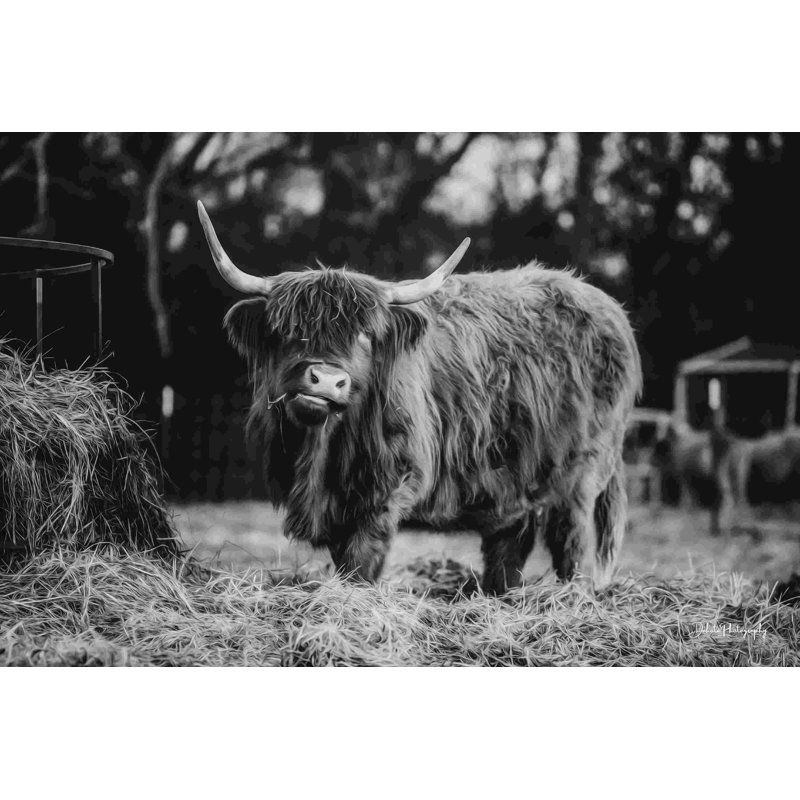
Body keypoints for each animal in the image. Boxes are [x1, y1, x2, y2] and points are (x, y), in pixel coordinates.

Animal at [197, 201, 642, 593]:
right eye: (290, 329)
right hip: (516, 480)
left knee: (573, 543)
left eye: (366, 335)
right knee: (509, 546)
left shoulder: (390, 484)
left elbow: (361, 559)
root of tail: (610, 309)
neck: (319, 458)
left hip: (583, 476)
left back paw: (571, 597)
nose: (325, 380)